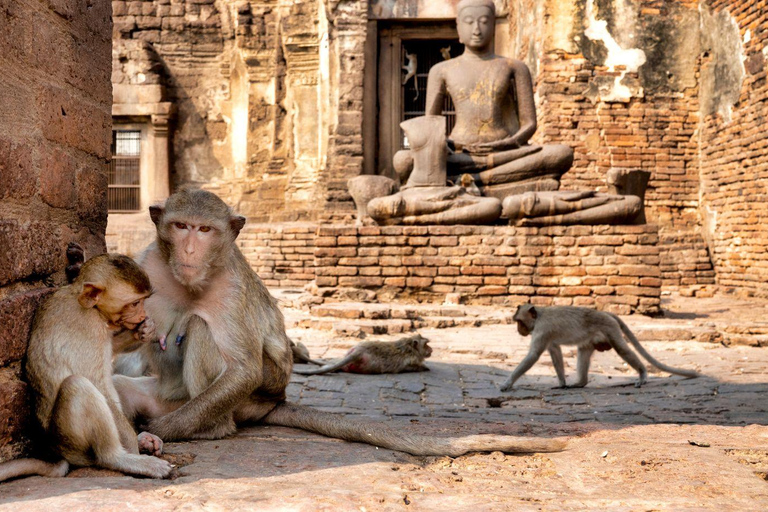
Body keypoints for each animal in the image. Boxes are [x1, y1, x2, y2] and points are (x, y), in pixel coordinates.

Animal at [0, 255, 172, 482]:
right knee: (78, 385)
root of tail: (60, 451)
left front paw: (144, 330)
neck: (85, 302)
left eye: (143, 301)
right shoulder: (89, 327)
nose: (143, 314)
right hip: (72, 440)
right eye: (135, 303)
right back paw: (120, 458)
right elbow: (98, 383)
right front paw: (133, 447)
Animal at [293, 334, 432, 376]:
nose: (431, 349)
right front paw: (424, 367)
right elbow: (412, 367)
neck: (408, 346)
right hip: (370, 366)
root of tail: (359, 351)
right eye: (426, 344)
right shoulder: (412, 360)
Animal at [500, 304, 701, 391]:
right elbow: (555, 350)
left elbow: (533, 355)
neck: (540, 315)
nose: (519, 330)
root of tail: (605, 312)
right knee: (583, 351)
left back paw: (643, 374)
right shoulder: (547, 336)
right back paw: (580, 382)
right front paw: (562, 383)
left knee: (621, 348)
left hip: (610, 328)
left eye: (519, 321)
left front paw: (507, 383)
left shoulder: (542, 330)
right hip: (593, 339)